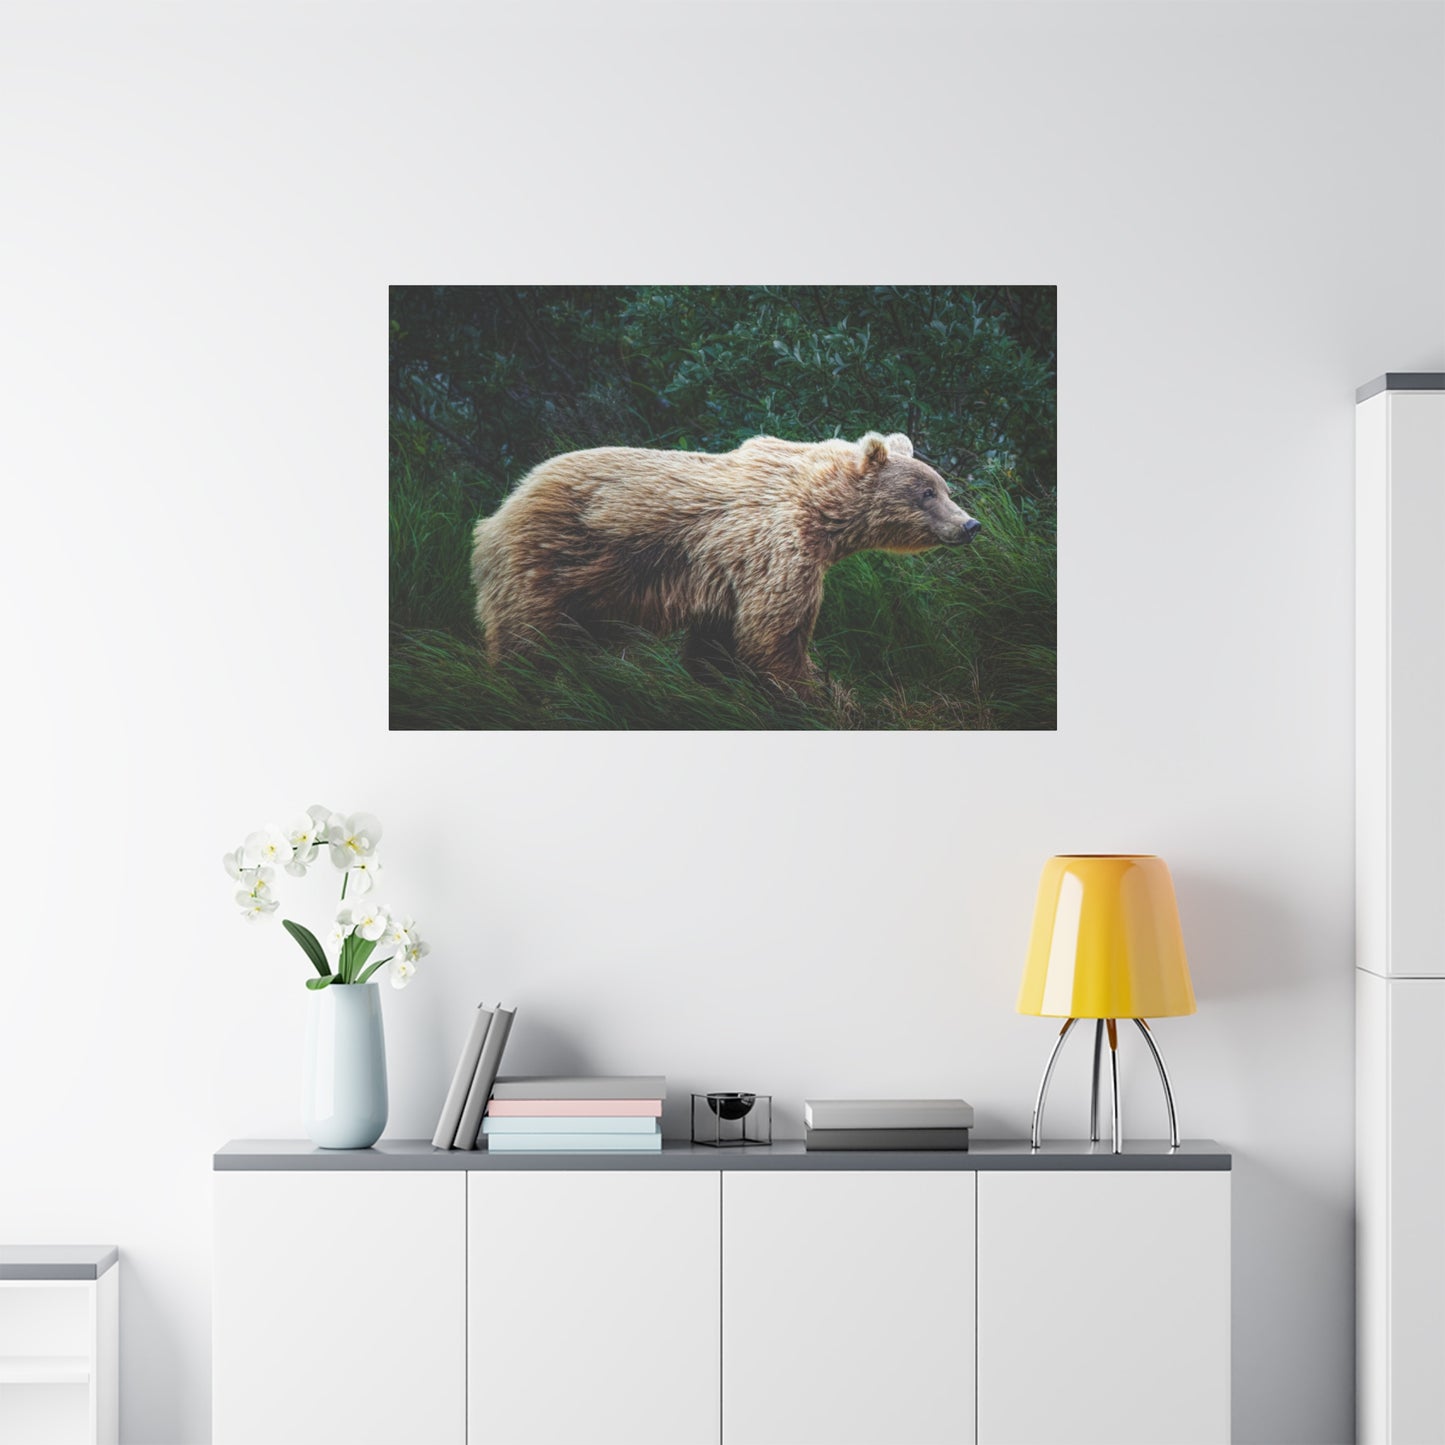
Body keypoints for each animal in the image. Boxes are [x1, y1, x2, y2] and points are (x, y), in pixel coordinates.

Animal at [470, 431, 982, 689]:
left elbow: (718, 643)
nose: (970, 524)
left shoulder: (725, 579)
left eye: (943, 487)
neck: (823, 515)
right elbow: (776, 634)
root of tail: (501, 508)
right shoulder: (777, 550)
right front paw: (815, 689)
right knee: (526, 641)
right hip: (549, 562)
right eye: (927, 492)